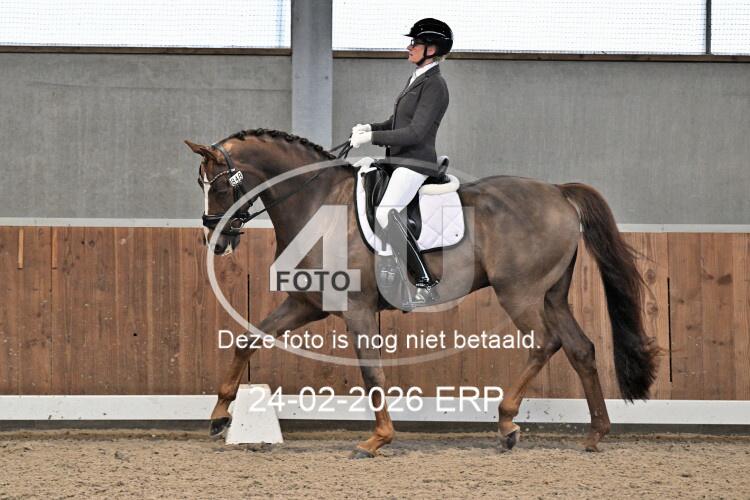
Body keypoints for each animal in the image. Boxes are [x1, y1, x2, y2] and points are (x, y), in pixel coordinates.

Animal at [185, 128, 659, 457]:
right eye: (201, 185)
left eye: (221, 185)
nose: (216, 240)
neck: (318, 204)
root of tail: (558, 193)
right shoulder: (306, 304)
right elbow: (247, 340)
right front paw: (219, 417)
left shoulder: (357, 310)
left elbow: (372, 373)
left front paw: (377, 439)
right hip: (551, 295)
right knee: (581, 349)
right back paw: (595, 434)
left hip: (520, 293)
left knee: (545, 343)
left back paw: (507, 424)